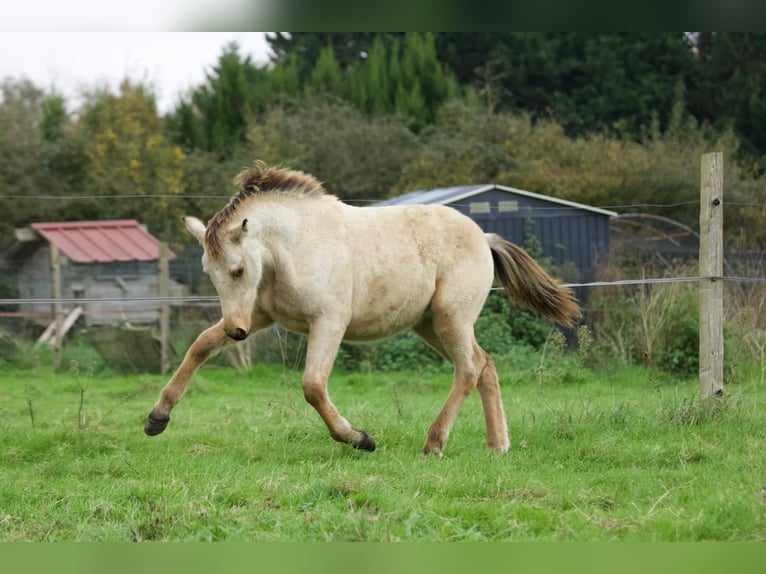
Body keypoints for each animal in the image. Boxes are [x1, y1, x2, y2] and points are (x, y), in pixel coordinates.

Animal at [146, 163, 584, 460]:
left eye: (238, 270)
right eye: (211, 273)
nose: (236, 333)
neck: (297, 245)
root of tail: (484, 235)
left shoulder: (329, 322)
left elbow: (313, 385)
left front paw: (361, 439)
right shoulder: (260, 317)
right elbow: (200, 347)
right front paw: (157, 417)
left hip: (451, 319)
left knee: (469, 369)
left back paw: (434, 443)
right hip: (430, 325)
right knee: (485, 365)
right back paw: (497, 446)